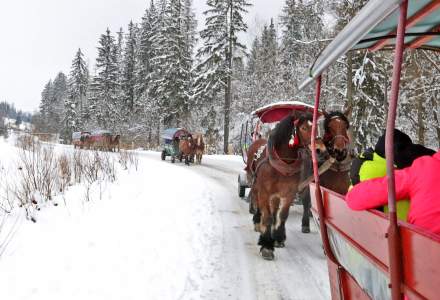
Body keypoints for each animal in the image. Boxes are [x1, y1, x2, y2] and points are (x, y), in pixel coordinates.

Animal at [248, 112, 326, 260]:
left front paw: (278, 237)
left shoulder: (289, 193)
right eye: (303, 128)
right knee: (259, 205)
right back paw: (257, 222)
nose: (320, 150)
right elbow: (267, 217)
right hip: (257, 187)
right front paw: (267, 245)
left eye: (316, 127)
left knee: (275, 211)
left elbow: (283, 215)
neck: (283, 165)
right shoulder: (265, 193)